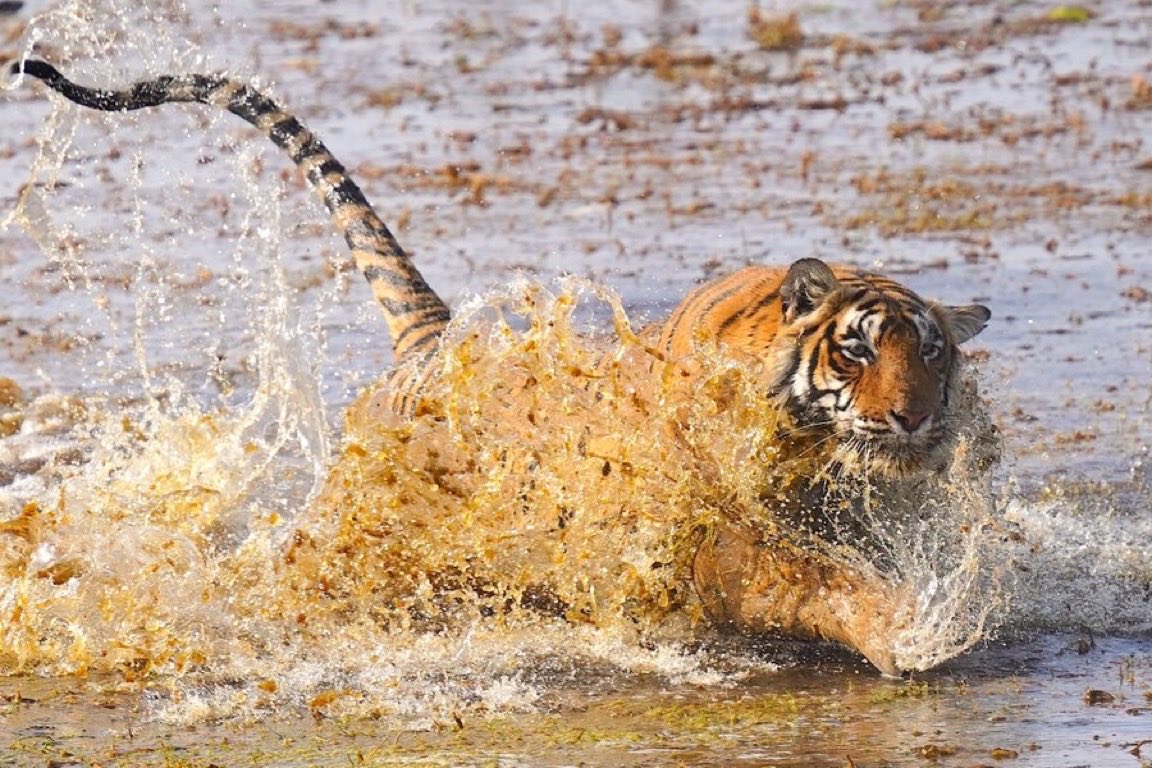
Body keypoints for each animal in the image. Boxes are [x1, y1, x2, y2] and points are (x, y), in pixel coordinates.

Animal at [12, 60, 991, 675]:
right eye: (857, 347)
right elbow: (824, 583)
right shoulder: (725, 544)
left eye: (930, 353)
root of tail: (432, 337)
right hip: (344, 546)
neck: (812, 455)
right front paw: (912, 632)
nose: (912, 418)